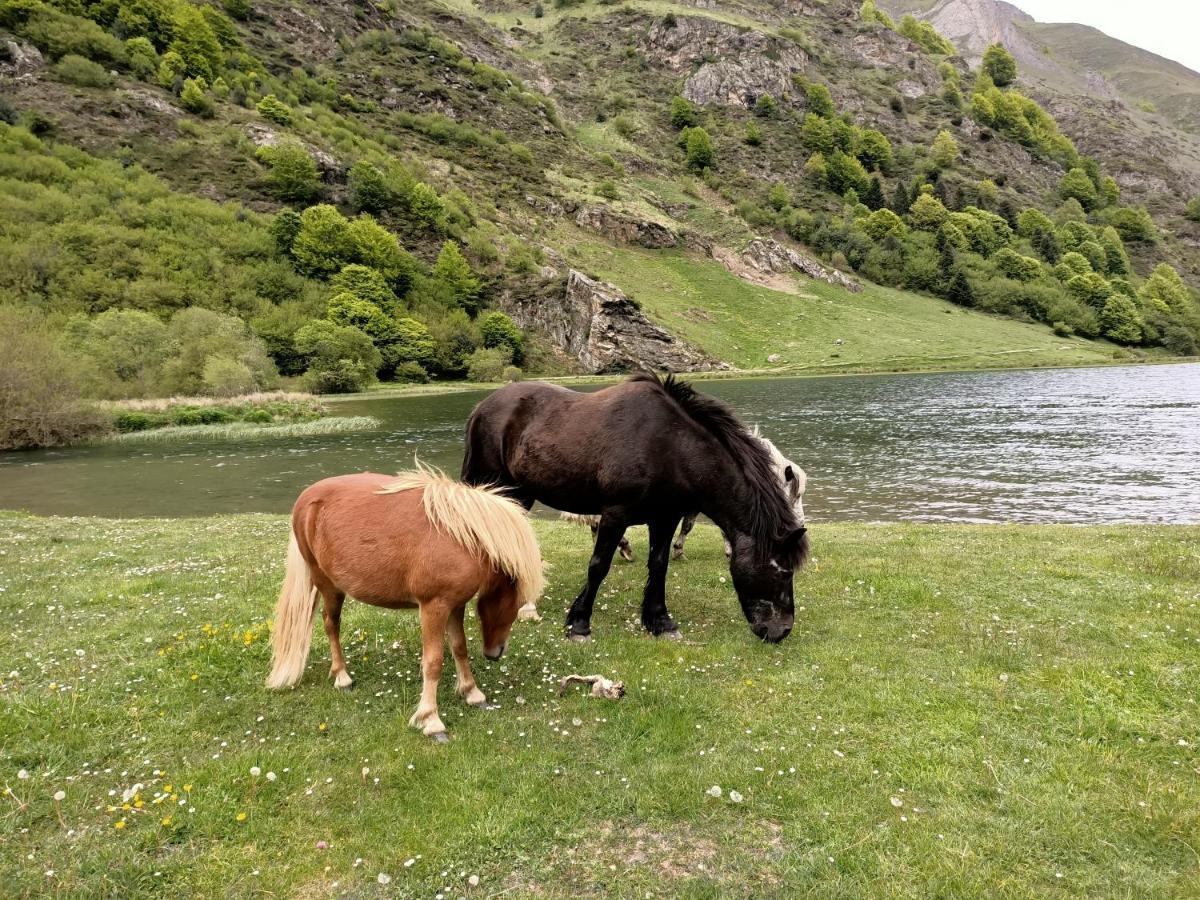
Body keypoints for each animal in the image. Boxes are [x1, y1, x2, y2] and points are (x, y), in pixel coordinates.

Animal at [267, 465, 544, 739]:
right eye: (518, 601)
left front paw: (472, 693)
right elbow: (433, 662)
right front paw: (431, 720)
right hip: (327, 585)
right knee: (330, 624)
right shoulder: (434, 607)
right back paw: (342, 677)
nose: (495, 653)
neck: (462, 537)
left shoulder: (455, 605)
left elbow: (459, 648)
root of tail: (306, 498)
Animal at [463, 374, 811, 648]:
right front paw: (579, 625)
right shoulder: (615, 515)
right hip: (495, 486)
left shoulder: (665, 518)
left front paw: (659, 622)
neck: (669, 446)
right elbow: (599, 566)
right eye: (784, 571)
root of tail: (482, 407)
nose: (781, 631)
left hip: (521, 494)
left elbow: (659, 565)